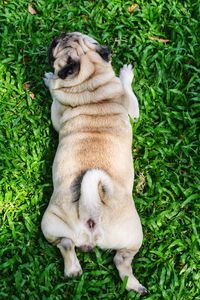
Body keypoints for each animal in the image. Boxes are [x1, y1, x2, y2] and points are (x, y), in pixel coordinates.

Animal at [41, 31, 147, 294]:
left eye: (56, 46)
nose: (59, 35)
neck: (90, 85)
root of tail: (91, 209)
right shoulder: (131, 109)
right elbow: (129, 95)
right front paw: (126, 74)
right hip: (132, 235)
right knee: (120, 259)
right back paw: (133, 285)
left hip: (51, 225)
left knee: (67, 245)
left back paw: (74, 270)